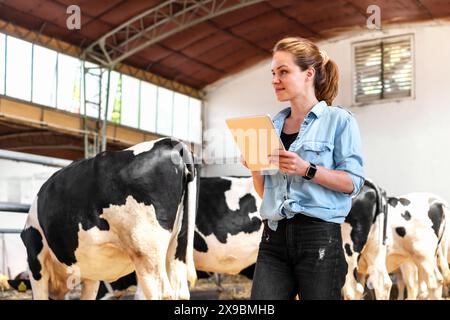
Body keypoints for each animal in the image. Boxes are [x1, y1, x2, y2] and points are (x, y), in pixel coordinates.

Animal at [19, 138, 199, 300]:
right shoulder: (91, 275)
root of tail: (171, 142)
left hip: (147, 250)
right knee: (180, 292)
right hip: (177, 247)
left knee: (161, 292)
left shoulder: (36, 262)